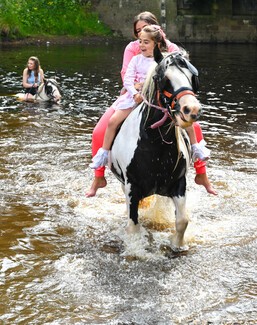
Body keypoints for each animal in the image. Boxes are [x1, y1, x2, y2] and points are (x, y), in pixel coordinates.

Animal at [109, 46, 200, 251]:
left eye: (192, 77)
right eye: (162, 78)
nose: (191, 109)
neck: (154, 145)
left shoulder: (179, 184)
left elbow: (182, 221)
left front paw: (176, 244)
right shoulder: (132, 187)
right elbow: (133, 226)